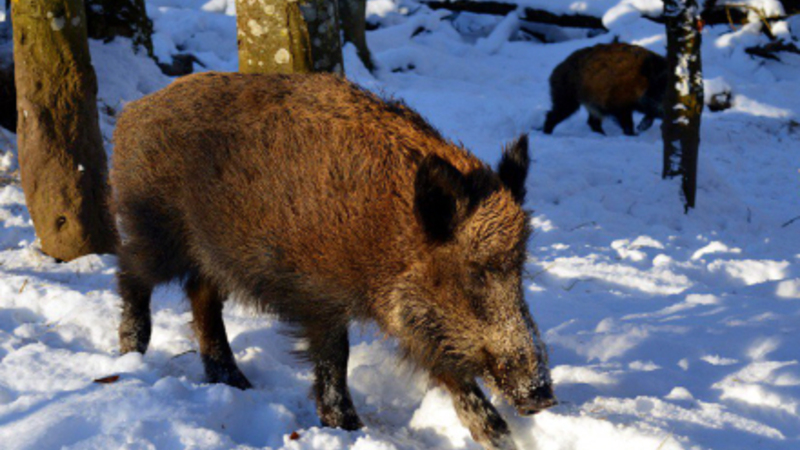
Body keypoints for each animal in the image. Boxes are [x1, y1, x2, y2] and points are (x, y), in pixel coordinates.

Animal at [111, 72, 554, 450]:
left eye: (519, 268)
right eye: (475, 272)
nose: (543, 397)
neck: (388, 235)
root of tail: (131, 112)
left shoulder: (421, 322)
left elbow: (453, 373)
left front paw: (501, 438)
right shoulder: (320, 297)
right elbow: (335, 358)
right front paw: (348, 429)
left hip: (209, 253)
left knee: (201, 295)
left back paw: (235, 383)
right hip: (157, 229)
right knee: (131, 270)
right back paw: (132, 352)